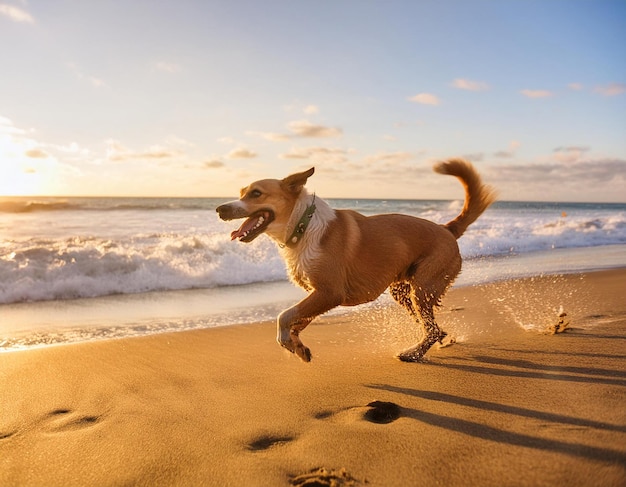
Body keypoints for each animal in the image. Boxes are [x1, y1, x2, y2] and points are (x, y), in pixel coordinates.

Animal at [214, 160, 492, 362]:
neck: (303, 226)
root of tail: (447, 229)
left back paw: (412, 353)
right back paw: (430, 345)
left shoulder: (329, 292)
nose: (219, 209)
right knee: (434, 329)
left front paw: (286, 342)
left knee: (433, 328)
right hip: (403, 292)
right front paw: (298, 347)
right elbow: (297, 320)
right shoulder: (318, 295)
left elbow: (285, 315)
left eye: (256, 193)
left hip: (422, 289)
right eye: (241, 193)